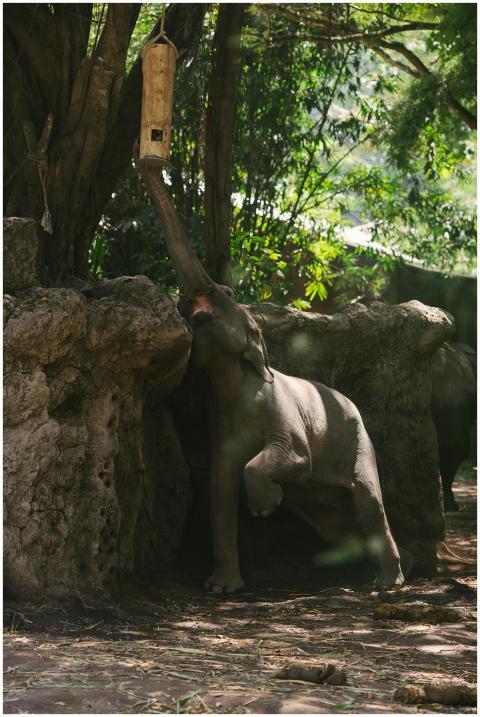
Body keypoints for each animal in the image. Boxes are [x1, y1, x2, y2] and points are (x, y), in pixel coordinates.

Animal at [136, 156, 405, 593]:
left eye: (226, 295)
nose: (149, 158)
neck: (234, 376)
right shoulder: (220, 422)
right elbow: (219, 488)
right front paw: (221, 588)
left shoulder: (279, 412)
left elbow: (294, 458)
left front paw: (264, 509)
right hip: (328, 489)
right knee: (333, 520)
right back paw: (346, 572)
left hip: (360, 442)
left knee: (368, 502)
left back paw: (387, 583)